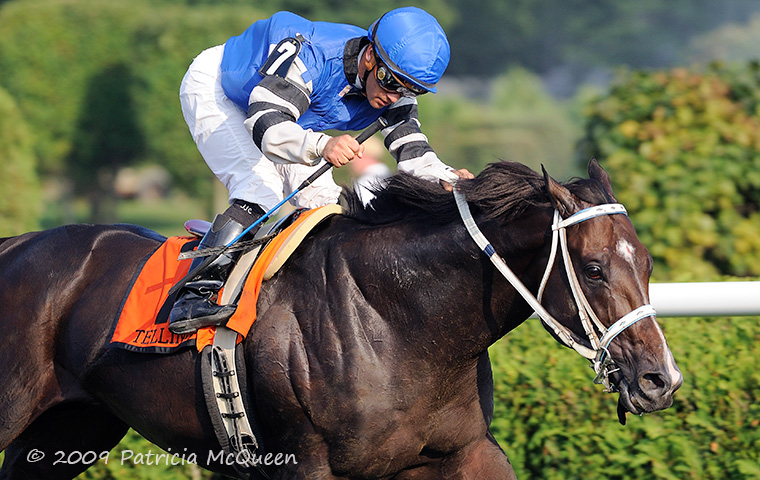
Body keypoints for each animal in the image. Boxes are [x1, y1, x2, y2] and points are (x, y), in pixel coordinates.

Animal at [0, 159, 684, 478]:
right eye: (593, 269)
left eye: (649, 264)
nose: (660, 380)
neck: (397, 321)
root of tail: (16, 244)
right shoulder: (307, 463)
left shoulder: (461, 451)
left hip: (69, 429)